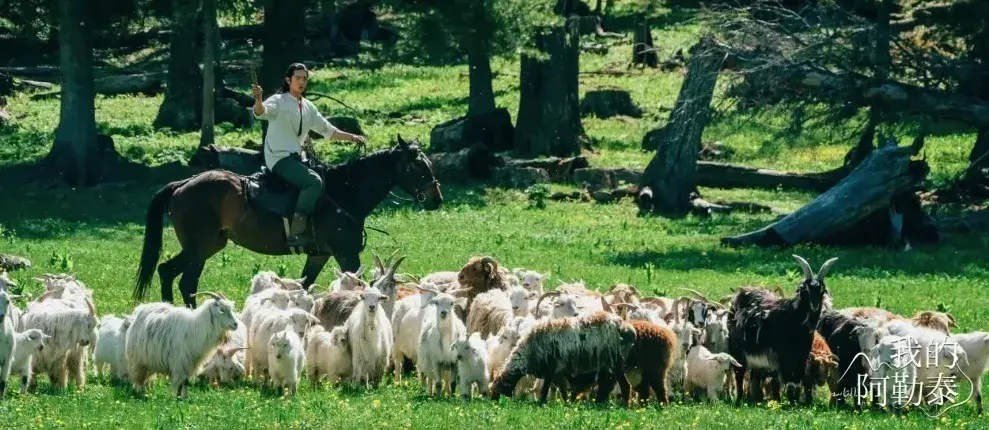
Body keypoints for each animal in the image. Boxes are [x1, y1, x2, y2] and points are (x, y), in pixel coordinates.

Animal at [133, 136, 442, 308]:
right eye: (417, 165)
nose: (436, 199)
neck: (344, 192)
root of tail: (182, 184)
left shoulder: (319, 255)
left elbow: (305, 287)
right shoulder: (347, 255)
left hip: (207, 246)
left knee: (166, 271)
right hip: (200, 248)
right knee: (186, 283)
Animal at [490, 310, 636, 404]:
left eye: (499, 389)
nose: (494, 403)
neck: (528, 353)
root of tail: (626, 328)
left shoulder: (550, 371)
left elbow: (544, 391)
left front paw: (541, 404)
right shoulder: (557, 373)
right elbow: (563, 391)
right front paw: (566, 405)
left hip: (616, 362)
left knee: (625, 385)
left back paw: (624, 406)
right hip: (606, 364)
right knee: (605, 385)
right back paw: (600, 403)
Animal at [724, 255, 832, 406]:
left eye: (822, 290)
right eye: (804, 289)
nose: (814, 306)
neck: (793, 316)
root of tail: (739, 296)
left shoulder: (801, 357)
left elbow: (796, 382)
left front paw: (794, 403)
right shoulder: (785, 356)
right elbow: (789, 382)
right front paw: (790, 403)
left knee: (754, 376)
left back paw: (755, 399)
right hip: (738, 351)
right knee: (739, 373)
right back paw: (740, 399)